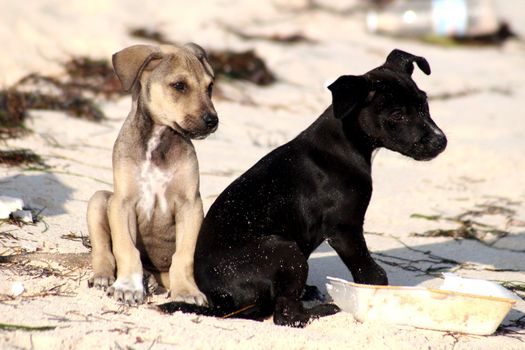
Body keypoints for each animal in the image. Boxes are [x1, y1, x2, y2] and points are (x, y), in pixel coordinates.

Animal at [86, 44, 217, 306]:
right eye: (179, 85)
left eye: (209, 87)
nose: (213, 121)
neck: (158, 142)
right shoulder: (123, 203)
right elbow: (126, 249)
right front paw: (128, 285)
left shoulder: (191, 206)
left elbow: (184, 256)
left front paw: (186, 291)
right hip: (99, 199)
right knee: (103, 249)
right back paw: (105, 276)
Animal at [160, 50, 446, 328]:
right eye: (397, 115)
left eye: (424, 104)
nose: (440, 142)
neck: (344, 145)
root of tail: (222, 303)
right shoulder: (344, 229)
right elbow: (370, 271)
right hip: (287, 252)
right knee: (286, 315)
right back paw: (324, 311)